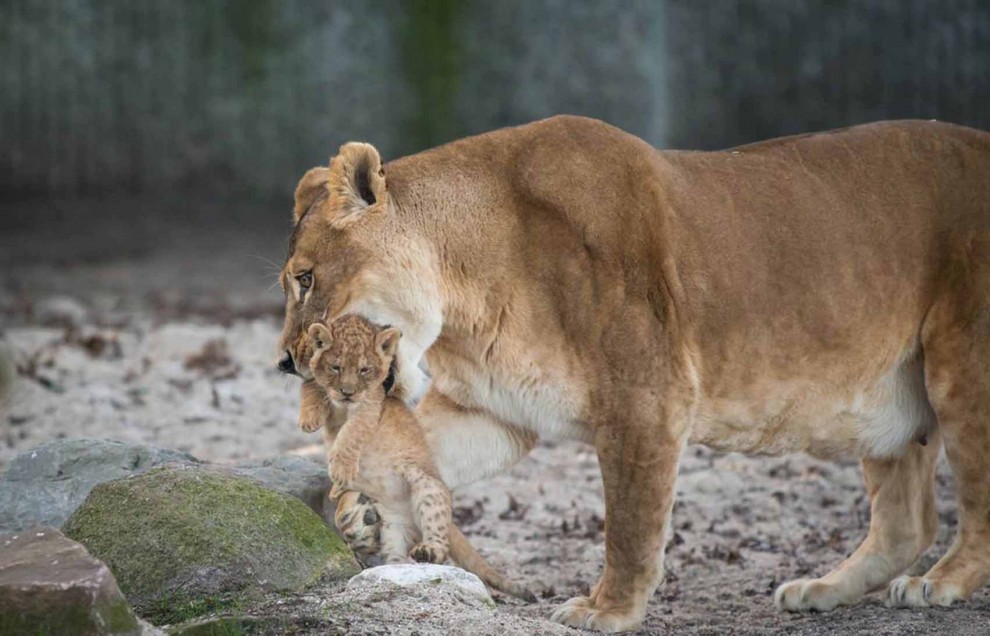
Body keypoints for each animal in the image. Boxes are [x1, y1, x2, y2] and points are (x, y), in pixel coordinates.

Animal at [276, 115, 990, 632]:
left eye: (306, 278)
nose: (285, 362)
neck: (464, 296)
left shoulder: (646, 398)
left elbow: (630, 520)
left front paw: (609, 610)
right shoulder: (497, 411)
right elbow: (423, 453)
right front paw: (358, 509)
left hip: (963, 368)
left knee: (971, 502)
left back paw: (940, 583)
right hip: (890, 403)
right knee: (906, 522)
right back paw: (821, 590)